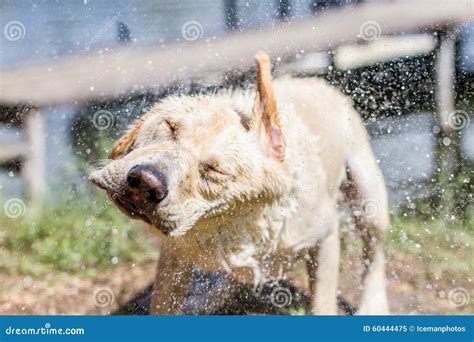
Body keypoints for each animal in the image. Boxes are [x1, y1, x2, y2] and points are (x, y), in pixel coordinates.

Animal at [89, 52, 388, 316]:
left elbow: (322, 302)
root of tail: (316, 82)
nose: (145, 181)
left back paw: (373, 305)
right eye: (170, 126)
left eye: (215, 170)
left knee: (374, 251)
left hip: (367, 196)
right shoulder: (175, 257)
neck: (231, 224)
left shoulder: (324, 236)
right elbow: (165, 302)